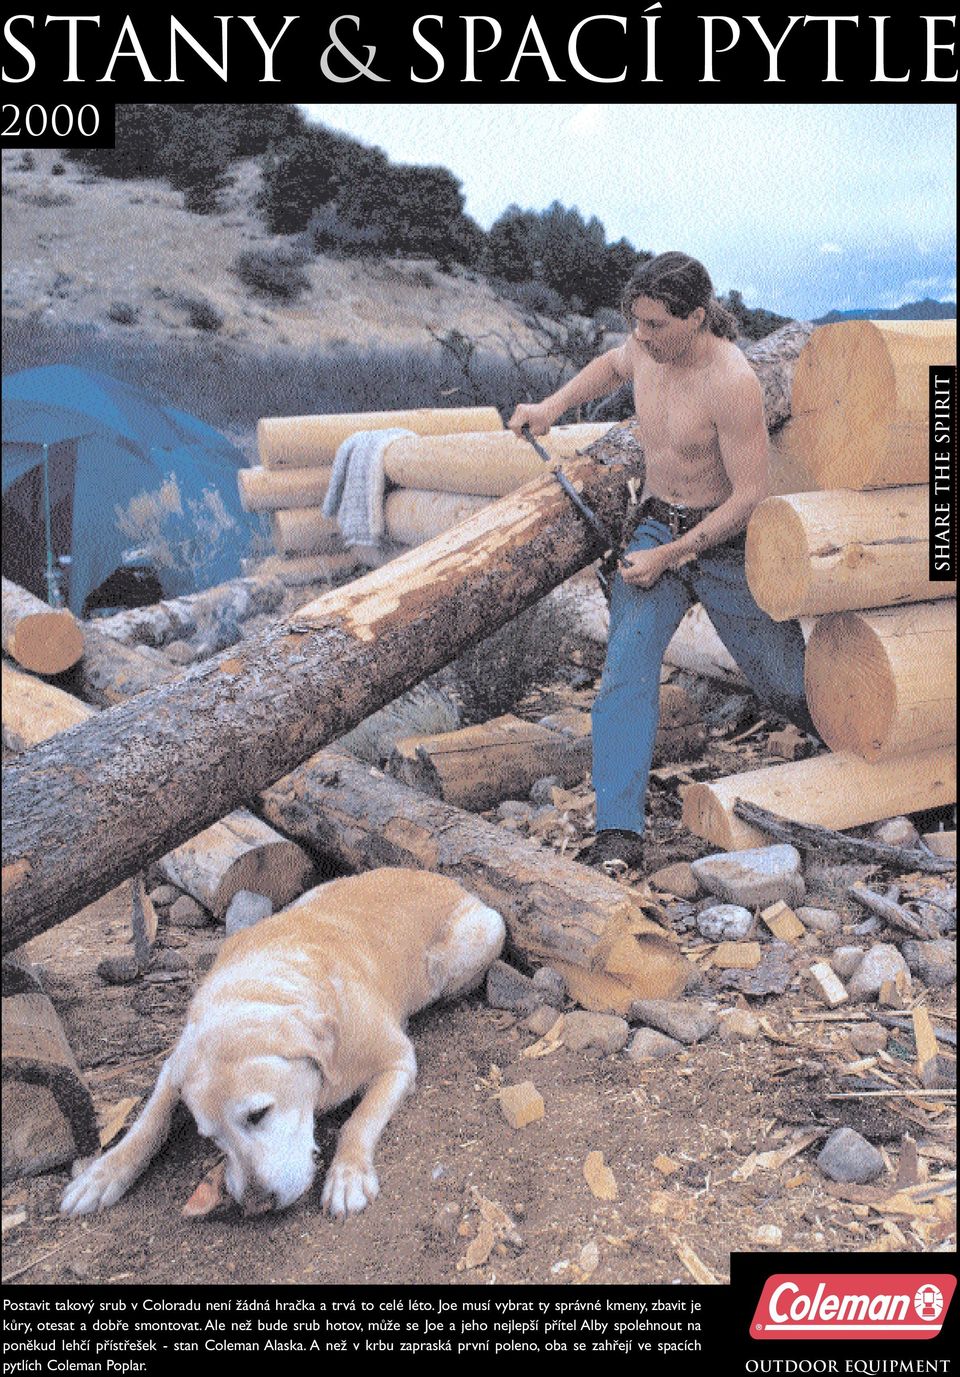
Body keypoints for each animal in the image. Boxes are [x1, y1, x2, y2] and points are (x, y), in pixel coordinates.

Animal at [60, 870, 506, 1217]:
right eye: (211, 1137)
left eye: (258, 1114)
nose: (257, 1206)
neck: (262, 988)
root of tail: (445, 878)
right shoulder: (176, 1061)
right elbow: (149, 1120)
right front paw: (101, 1173)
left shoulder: (398, 1063)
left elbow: (358, 1120)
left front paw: (346, 1176)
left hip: (474, 940)